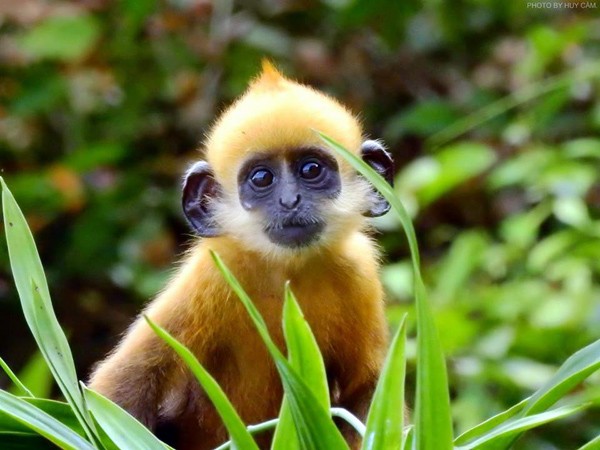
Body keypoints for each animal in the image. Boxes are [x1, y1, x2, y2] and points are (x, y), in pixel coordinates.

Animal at [88, 62, 394, 450]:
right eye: (262, 178)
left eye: (311, 170)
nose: (289, 201)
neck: (285, 272)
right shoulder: (214, 270)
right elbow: (123, 385)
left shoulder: (359, 270)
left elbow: (366, 389)